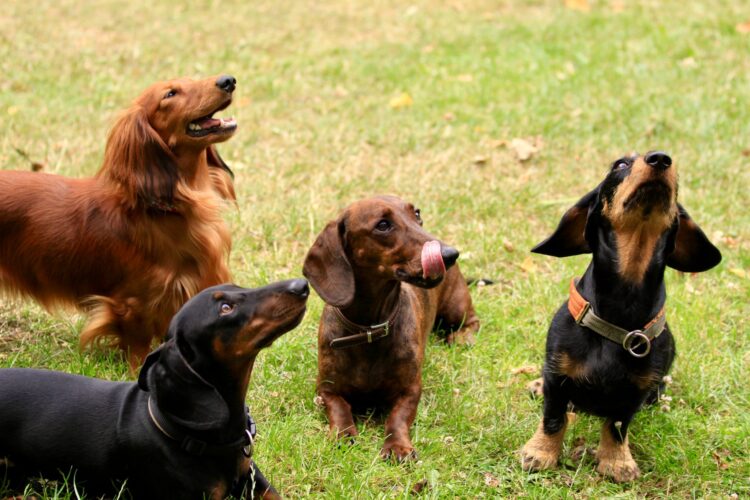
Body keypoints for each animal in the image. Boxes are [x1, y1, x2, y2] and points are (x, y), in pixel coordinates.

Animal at [0, 74, 238, 368]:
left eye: (194, 78)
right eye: (170, 94)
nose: (228, 80)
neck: (172, 205)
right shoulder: (134, 303)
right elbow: (138, 345)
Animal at [303, 195, 479, 460]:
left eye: (417, 214)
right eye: (383, 225)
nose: (450, 254)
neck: (369, 330)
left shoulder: (410, 390)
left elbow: (398, 417)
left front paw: (398, 446)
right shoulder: (326, 389)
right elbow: (339, 408)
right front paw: (343, 434)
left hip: (456, 307)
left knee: (472, 321)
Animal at [521, 151, 721, 481]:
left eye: (677, 177)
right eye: (620, 164)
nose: (660, 159)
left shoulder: (634, 391)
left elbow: (617, 425)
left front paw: (616, 462)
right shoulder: (558, 375)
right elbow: (554, 416)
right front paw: (541, 453)